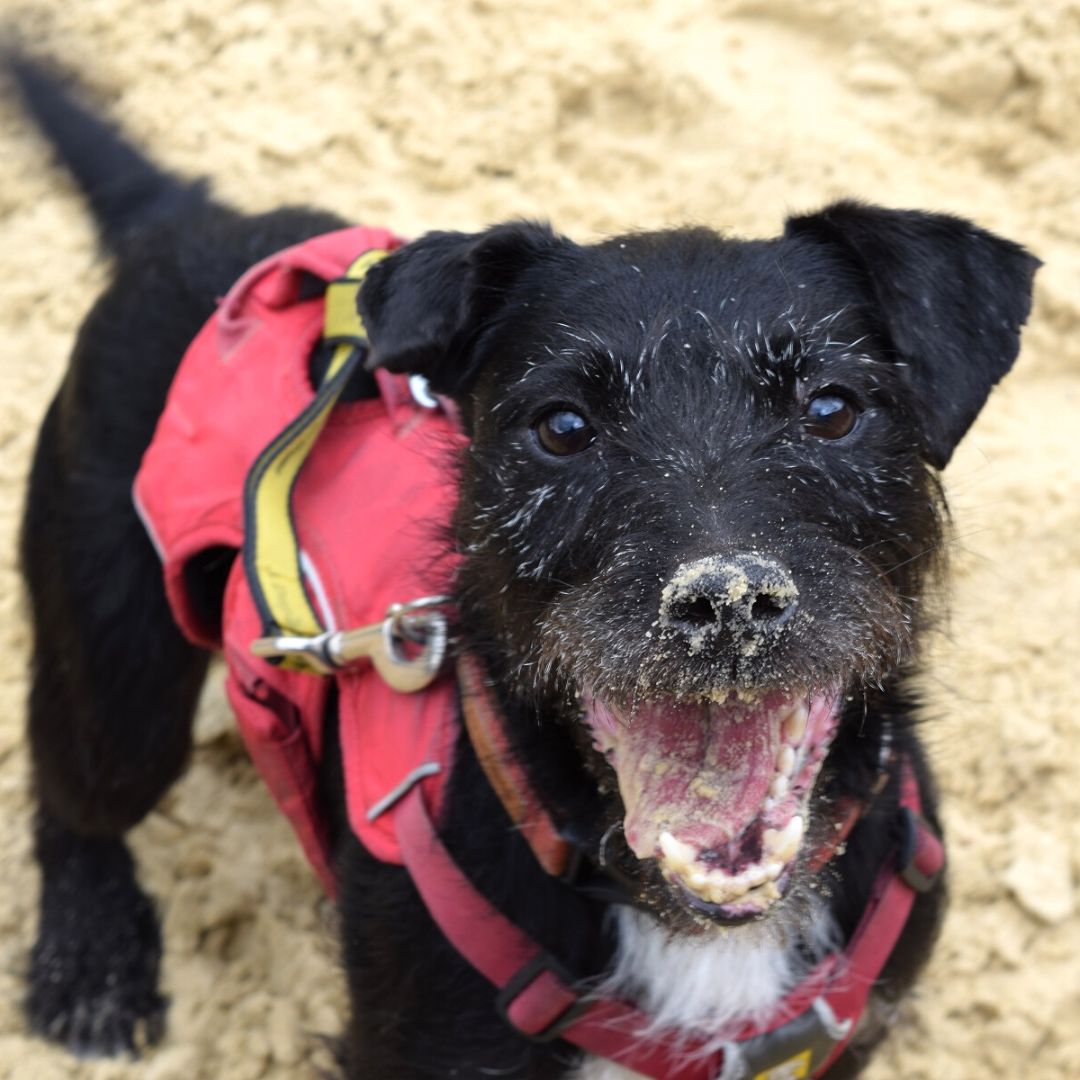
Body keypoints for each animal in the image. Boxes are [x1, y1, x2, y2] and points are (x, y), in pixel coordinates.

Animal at [10, 59, 1036, 1080]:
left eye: (832, 408)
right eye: (563, 427)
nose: (729, 600)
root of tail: (187, 221)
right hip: (119, 673)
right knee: (73, 794)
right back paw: (89, 966)